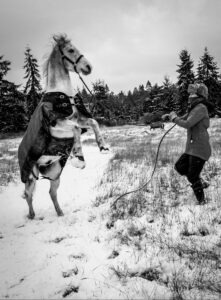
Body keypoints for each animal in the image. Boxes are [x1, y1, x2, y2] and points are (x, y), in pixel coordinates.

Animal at [18, 34, 108, 219]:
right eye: (71, 50)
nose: (88, 67)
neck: (62, 96)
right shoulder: (57, 124)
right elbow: (75, 130)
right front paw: (79, 158)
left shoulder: (78, 120)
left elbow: (93, 122)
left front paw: (102, 146)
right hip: (30, 176)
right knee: (29, 195)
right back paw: (31, 215)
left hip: (54, 173)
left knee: (51, 193)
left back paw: (60, 213)